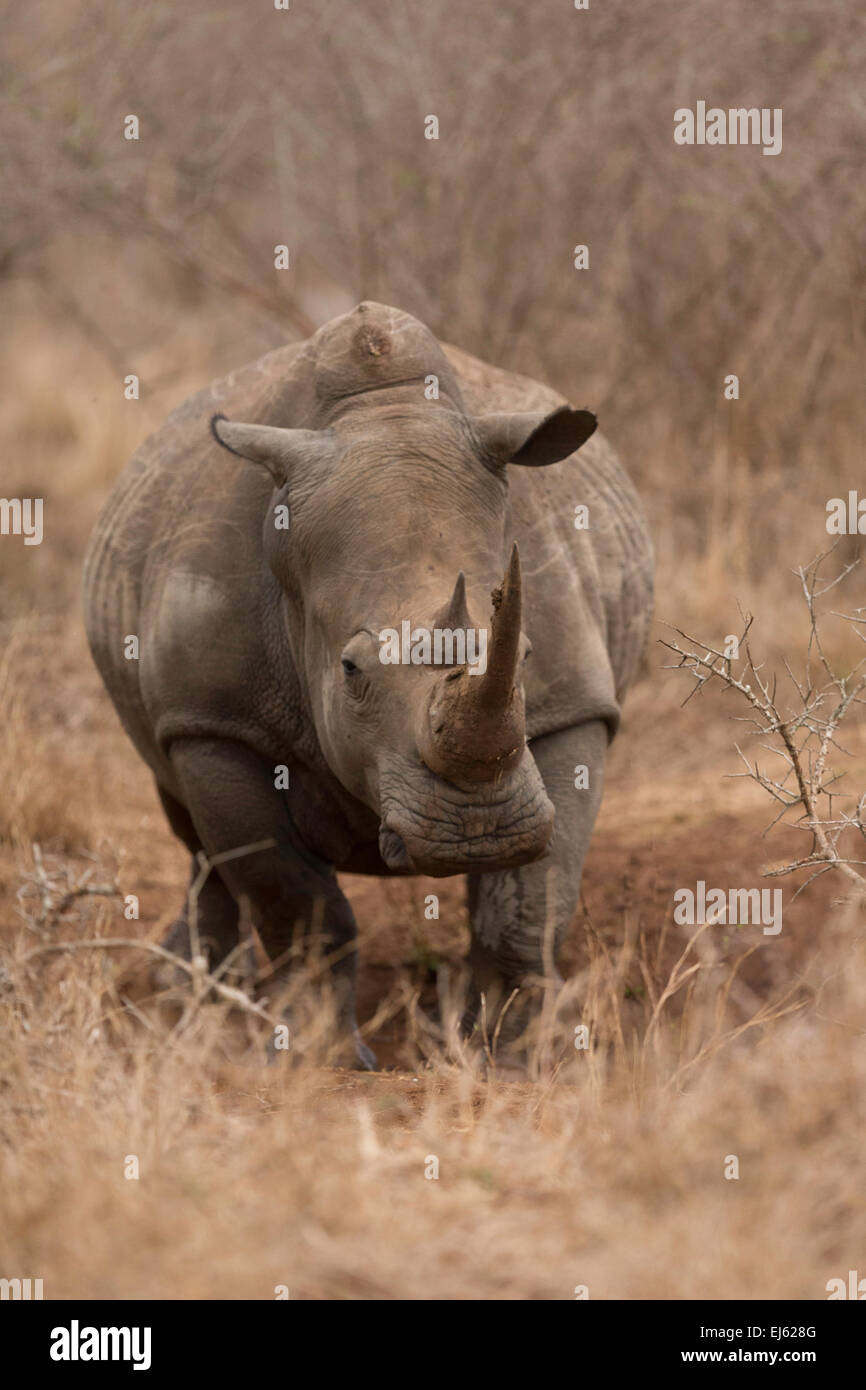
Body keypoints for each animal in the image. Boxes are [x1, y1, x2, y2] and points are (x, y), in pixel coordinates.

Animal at [83, 301, 652, 1068]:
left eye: (528, 653)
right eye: (351, 670)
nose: (480, 832)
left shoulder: (574, 708)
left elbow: (532, 902)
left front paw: (508, 1059)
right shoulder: (213, 722)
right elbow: (294, 900)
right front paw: (316, 1058)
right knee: (195, 837)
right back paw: (192, 1005)